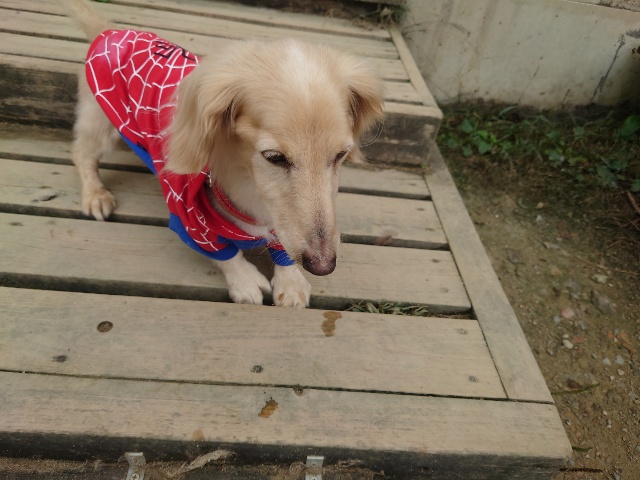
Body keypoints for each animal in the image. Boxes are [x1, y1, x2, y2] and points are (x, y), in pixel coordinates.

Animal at [66, 0, 384, 308]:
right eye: (274, 157)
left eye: (340, 155)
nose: (323, 265)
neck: (250, 186)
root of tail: (109, 32)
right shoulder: (189, 219)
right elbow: (225, 252)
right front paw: (244, 280)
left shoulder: (280, 222)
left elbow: (281, 245)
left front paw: (290, 281)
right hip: (101, 125)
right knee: (81, 153)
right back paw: (95, 195)